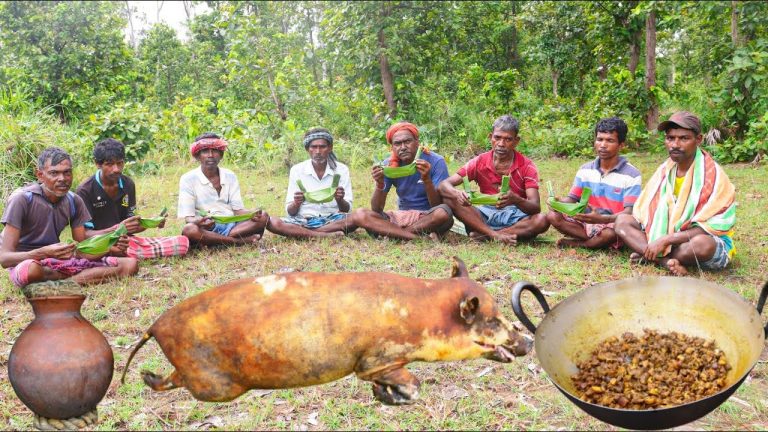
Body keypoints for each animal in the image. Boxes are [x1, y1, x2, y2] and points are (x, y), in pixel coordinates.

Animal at [121, 257, 532, 405]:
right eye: (492, 319)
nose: (528, 340)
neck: (423, 315)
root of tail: (154, 325)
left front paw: (382, 395)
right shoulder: (377, 357)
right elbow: (412, 384)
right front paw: (391, 395)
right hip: (213, 384)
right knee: (177, 382)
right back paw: (146, 376)